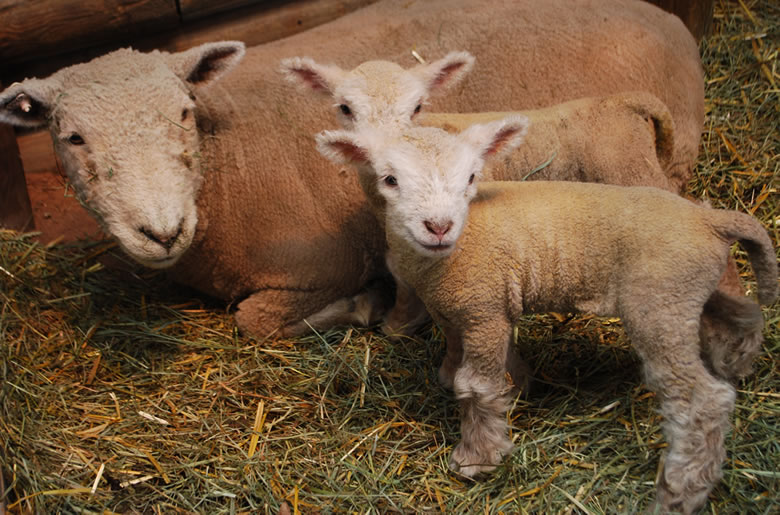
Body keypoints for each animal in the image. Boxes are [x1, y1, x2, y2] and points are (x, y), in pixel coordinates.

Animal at [0, 0, 706, 338]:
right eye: (72, 136)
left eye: (182, 112)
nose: (160, 230)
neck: (222, 168)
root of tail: (665, 15)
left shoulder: (320, 266)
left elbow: (255, 322)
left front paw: (366, 307)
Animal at [315, 117, 778, 514]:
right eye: (390, 179)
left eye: (471, 178)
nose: (439, 227)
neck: (455, 250)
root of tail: (709, 219)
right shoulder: (467, 309)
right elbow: (463, 355)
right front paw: (508, 384)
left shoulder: (483, 310)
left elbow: (476, 386)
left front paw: (478, 457)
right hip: (689, 291)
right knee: (744, 315)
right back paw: (737, 362)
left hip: (658, 305)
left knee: (703, 400)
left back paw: (681, 491)